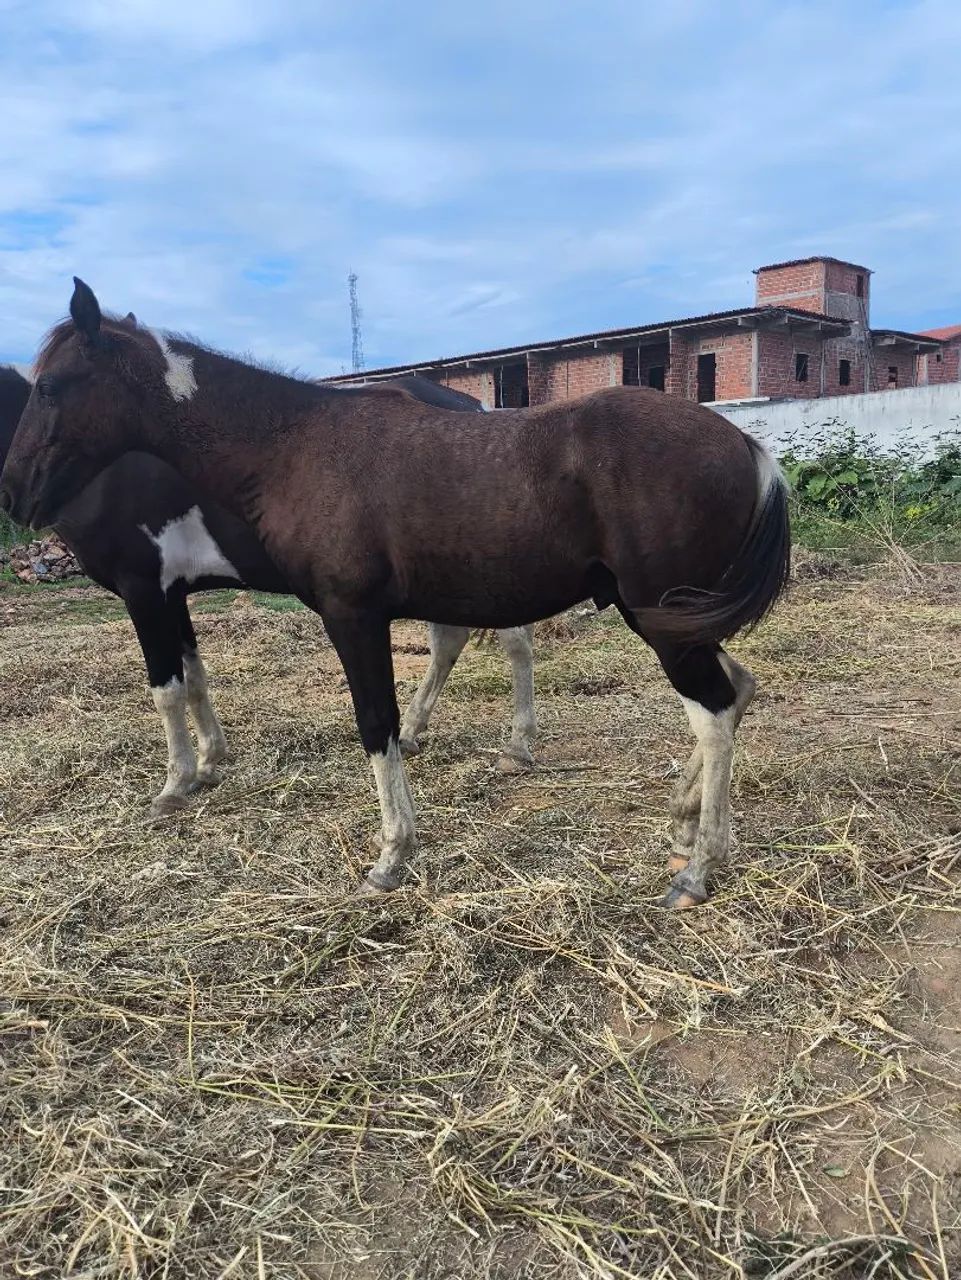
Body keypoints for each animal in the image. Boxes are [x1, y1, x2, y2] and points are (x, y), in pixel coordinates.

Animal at [0, 361, 537, 815]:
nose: (15, 497)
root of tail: (471, 408)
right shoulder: (174, 594)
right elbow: (195, 678)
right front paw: (210, 760)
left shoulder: (144, 590)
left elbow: (167, 690)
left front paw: (175, 785)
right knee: (450, 641)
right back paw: (412, 732)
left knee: (511, 641)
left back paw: (517, 744)